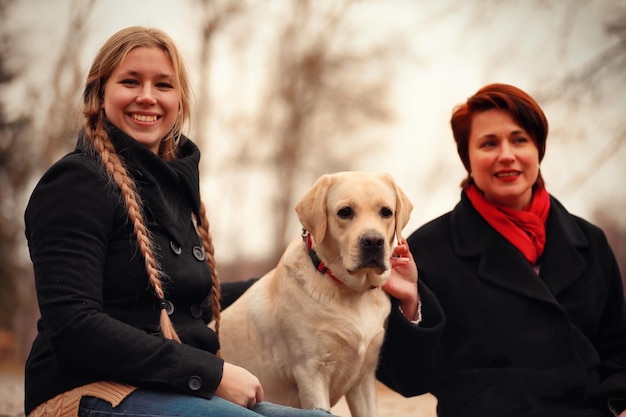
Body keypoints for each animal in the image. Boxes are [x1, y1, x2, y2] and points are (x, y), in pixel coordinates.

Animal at [217, 171, 412, 414]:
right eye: (345, 212)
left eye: (386, 211)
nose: (373, 241)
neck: (352, 292)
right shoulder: (311, 373)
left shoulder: (364, 378)